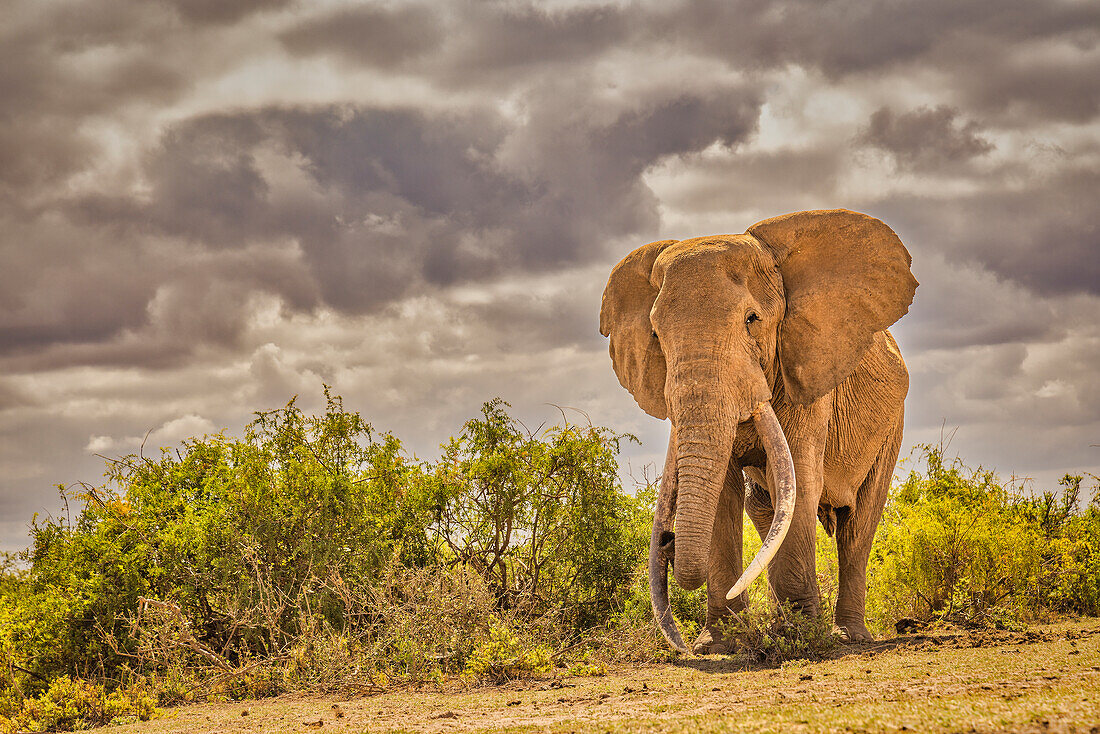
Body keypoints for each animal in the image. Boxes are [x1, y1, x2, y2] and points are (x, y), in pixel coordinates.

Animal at [598, 209, 915, 651]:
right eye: (657, 335)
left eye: (752, 321)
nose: (670, 544)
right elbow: (725, 493)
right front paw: (718, 644)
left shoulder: (806, 375)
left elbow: (803, 479)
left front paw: (802, 639)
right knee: (765, 508)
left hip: (891, 426)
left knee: (858, 524)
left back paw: (847, 635)